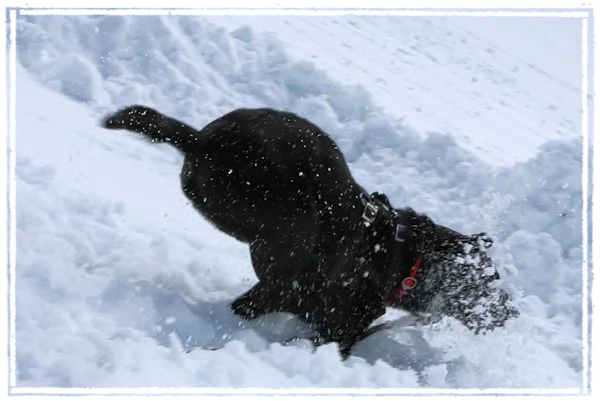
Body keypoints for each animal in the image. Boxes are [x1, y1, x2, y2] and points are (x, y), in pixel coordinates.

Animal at [101, 104, 516, 354]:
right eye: (489, 282)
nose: (512, 314)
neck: (396, 257)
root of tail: (203, 141)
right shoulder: (327, 324)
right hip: (288, 218)